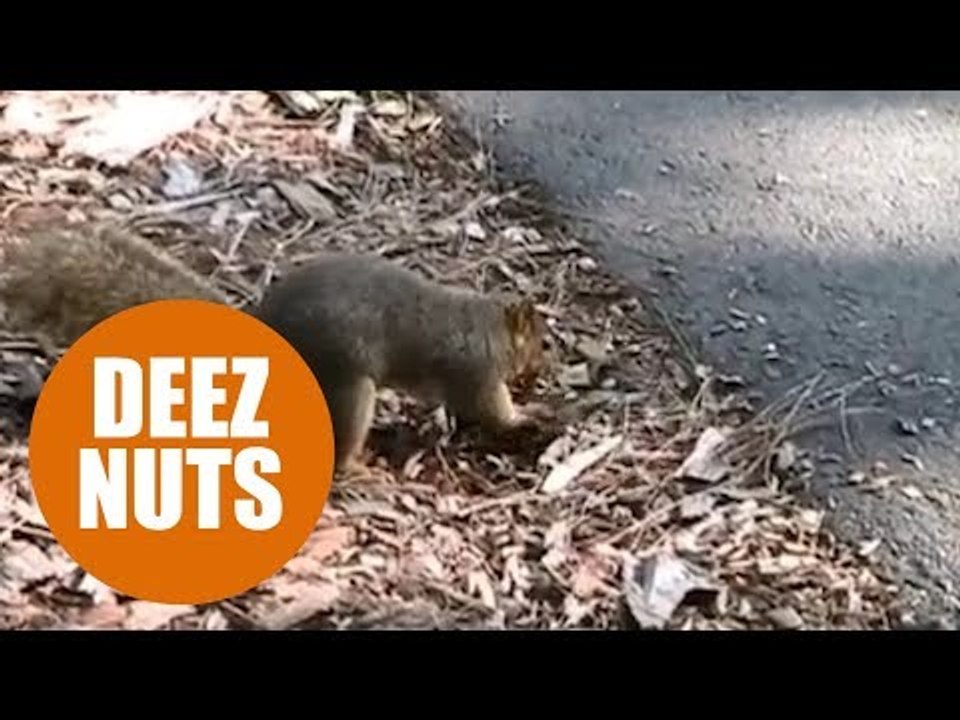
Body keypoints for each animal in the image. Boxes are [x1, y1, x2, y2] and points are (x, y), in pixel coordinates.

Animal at [0, 224, 553, 472]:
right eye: (541, 342)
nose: (543, 369)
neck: (485, 324)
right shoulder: (475, 372)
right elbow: (492, 410)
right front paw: (528, 417)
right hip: (349, 384)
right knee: (341, 444)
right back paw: (360, 468)